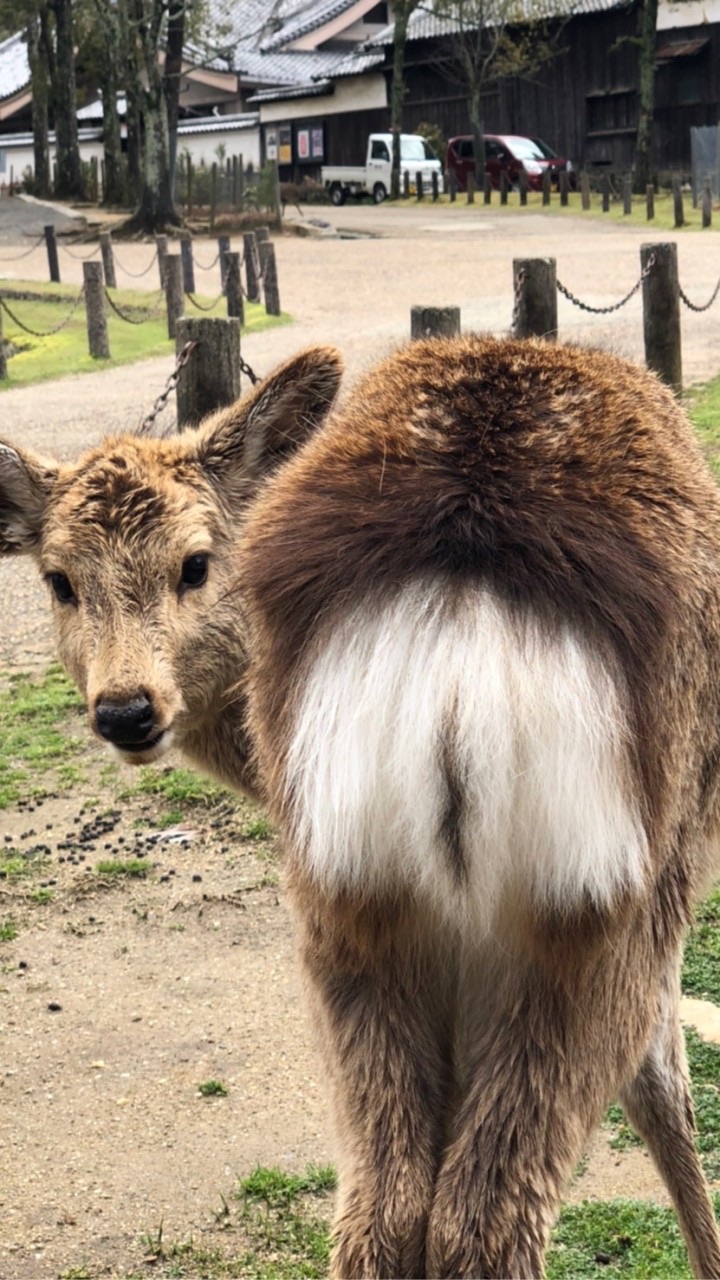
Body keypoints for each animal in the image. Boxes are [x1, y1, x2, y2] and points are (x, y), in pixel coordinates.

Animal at [1, 335, 717, 1274]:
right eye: (58, 580)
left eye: (195, 563)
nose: (125, 710)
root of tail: (459, 610)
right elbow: (669, 1095)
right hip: (602, 897)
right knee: (486, 1211)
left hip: (347, 895)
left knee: (388, 1206)